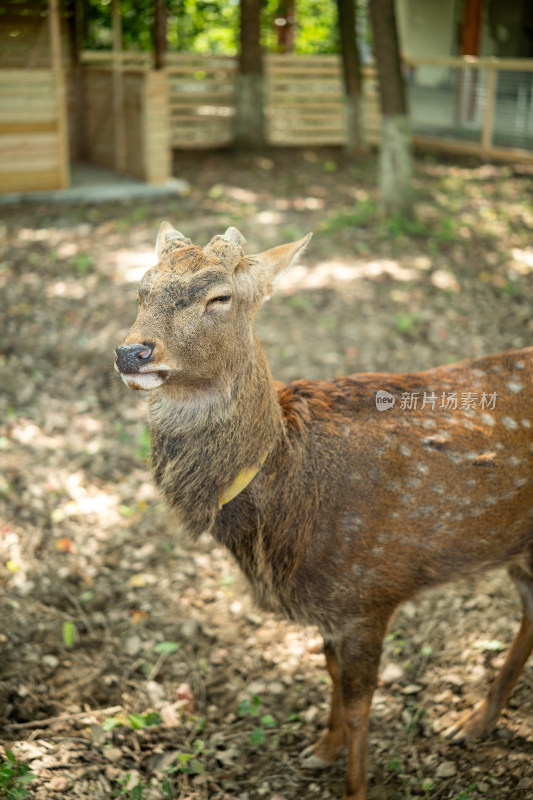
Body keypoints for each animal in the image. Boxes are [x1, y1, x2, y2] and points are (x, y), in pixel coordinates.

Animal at [115, 223, 532, 800]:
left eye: (219, 297)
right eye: (142, 289)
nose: (131, 351)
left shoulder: (369, 594)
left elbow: (360, 707)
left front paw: (353, 783)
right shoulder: (332, 606)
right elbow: (329, 672)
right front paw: (323, 748)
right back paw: (475, 722)